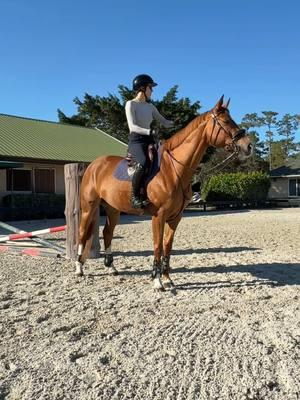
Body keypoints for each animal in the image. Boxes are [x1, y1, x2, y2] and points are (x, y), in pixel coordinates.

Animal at [75, 97, 251, 290]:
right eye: (226, 121)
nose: (248, 145)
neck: (173, 170)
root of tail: (94, 165)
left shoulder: (175, 217)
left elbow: (167, 245)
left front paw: (167, 278)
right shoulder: (158, 216)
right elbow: (158, 246)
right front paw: (157, 280)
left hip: (113, 209)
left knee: (107, 232)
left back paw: (111, 268)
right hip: (88, 207)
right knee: (82, 232)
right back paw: (79, 268)